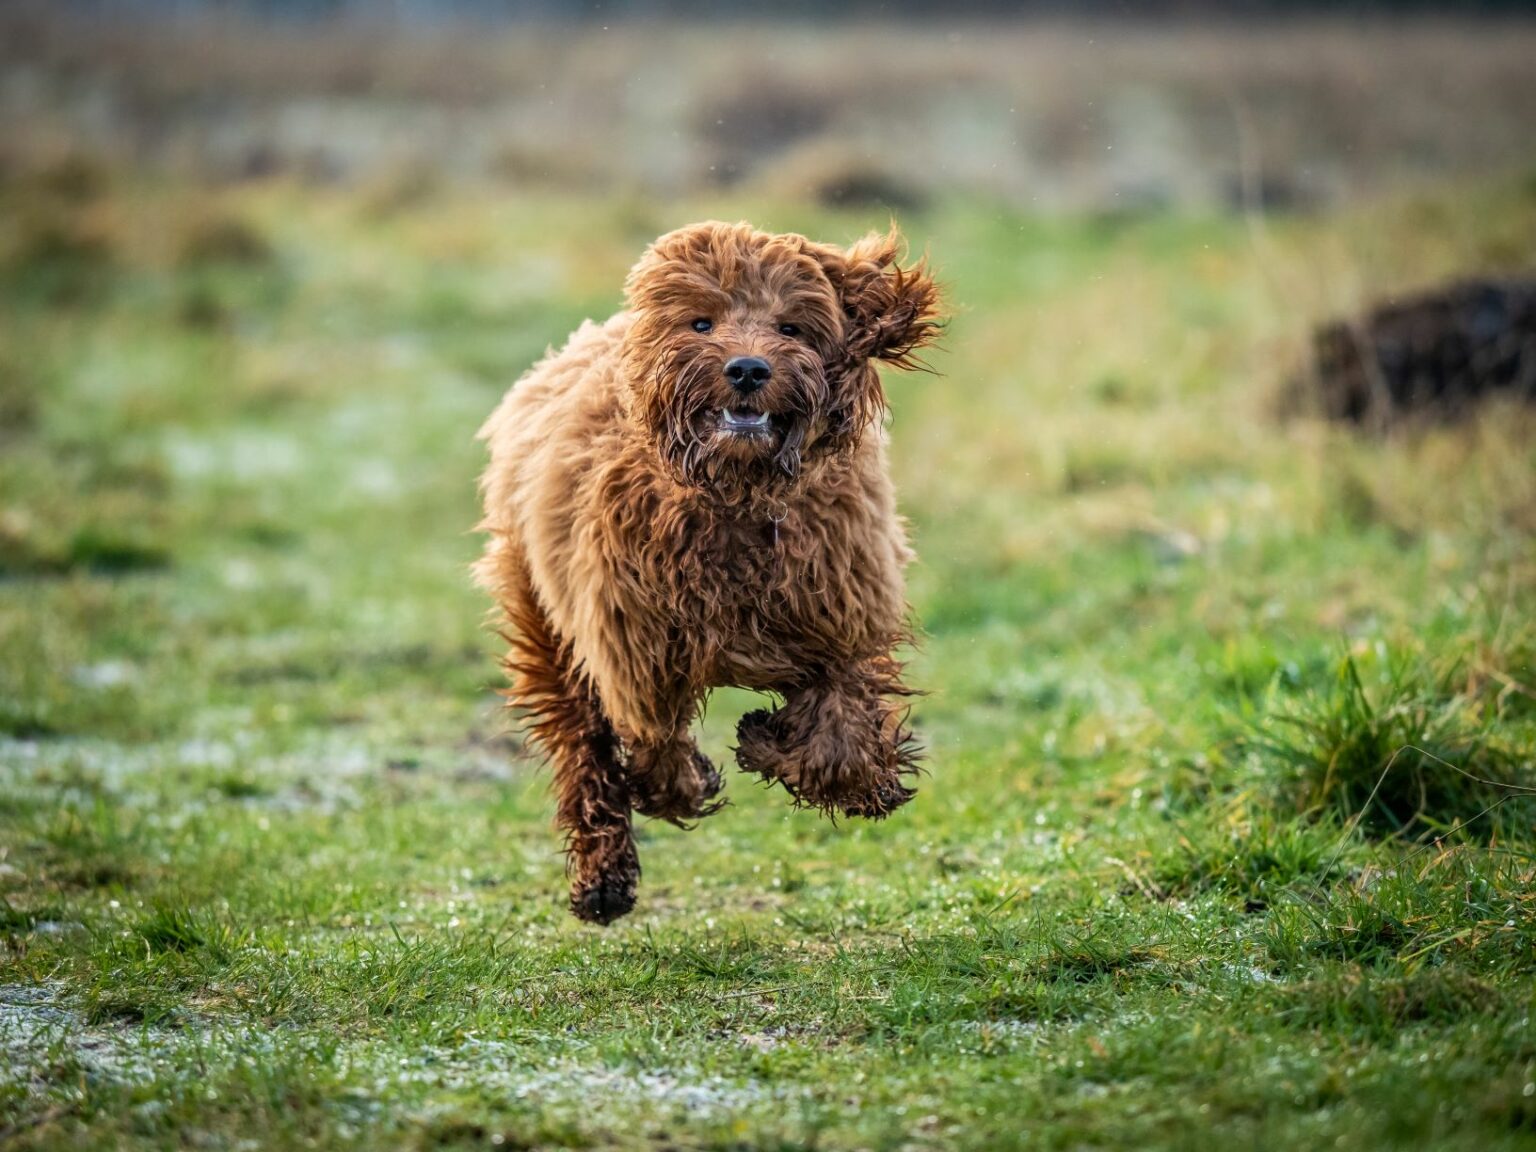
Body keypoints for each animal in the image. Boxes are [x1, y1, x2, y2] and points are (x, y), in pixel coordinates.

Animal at [473, 221, 940, 927]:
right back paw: (604, 878)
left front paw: (776, 744)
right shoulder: (634, 644)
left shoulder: (841, 619)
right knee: (581, 744)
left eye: (791, 327)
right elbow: (655, 741)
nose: (747, 368)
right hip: (545, 617)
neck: (738, 494)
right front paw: (695, 778)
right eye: (701, 322)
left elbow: (842, 743)